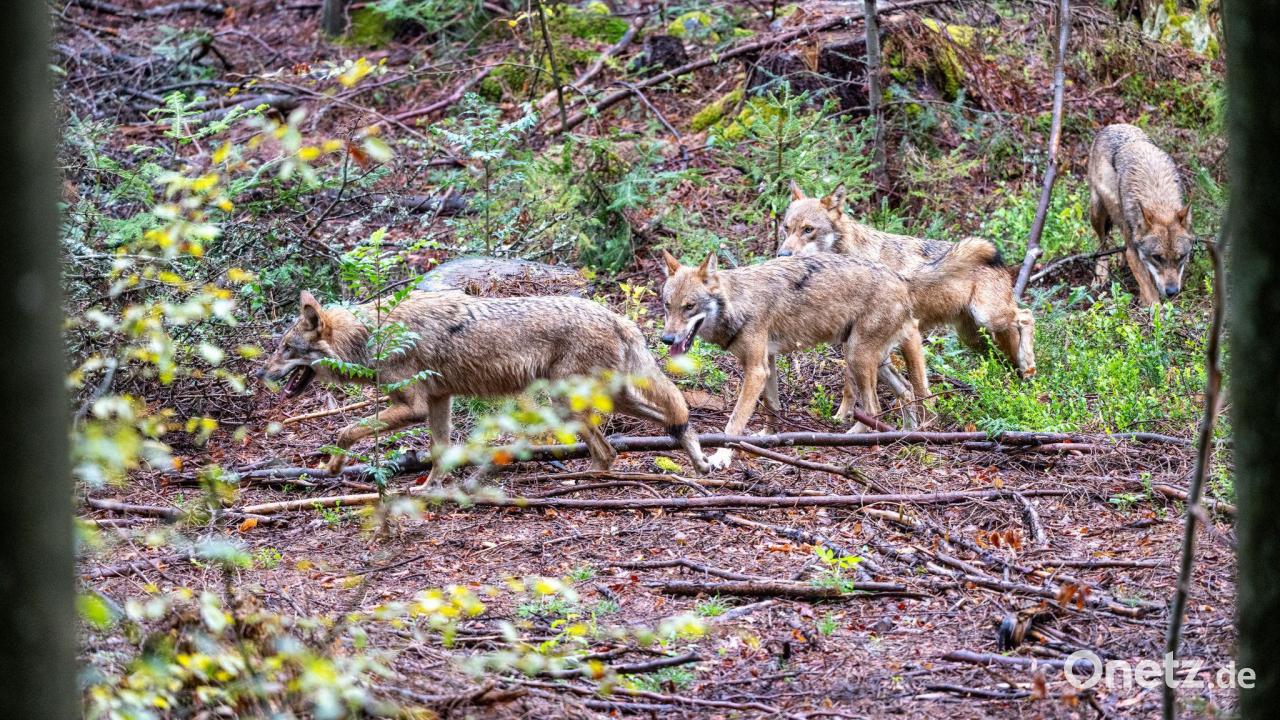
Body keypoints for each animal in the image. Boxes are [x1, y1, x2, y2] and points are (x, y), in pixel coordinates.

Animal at [261, 290, 711, 484]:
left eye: (285, 349)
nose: (262, 375)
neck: (369, 337)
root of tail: (618, 318)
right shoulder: (439, 401)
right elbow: (440, 453)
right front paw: (429, 492)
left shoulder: (414, 408)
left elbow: (344, 431)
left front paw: (333, 467)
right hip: (612, 398)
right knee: (674, 417)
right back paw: (701, 464)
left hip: (567, 405)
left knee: (609, 452)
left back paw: (578, 483)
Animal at [659, 251, 957, 470]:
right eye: (667, 305)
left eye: (689, 306)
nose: (667, 339)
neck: (738, 303)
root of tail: (901, 279)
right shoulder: (767, 363)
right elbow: (772, 406)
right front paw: (768, 437)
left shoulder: (755, 370)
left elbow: (733, 422)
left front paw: (721, 456)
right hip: (873, 360)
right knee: (906, 392)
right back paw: (904, 436)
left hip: (856, 357)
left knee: (873, 408)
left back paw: (854, 438)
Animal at [778, 182, 1036, 380]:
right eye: (786, 228)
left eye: (808, 229)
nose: (782, 255)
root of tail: (1001, 266)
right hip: (972, 337)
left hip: (988, 318)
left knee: (1027, 315)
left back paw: (1029, 365)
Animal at [1087, 123, 1195, 306]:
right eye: (1157, 257)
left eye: (1180, 257)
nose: (1172, 292)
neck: (1157, 196)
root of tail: (1113, 125)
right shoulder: (1134, 252)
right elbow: (1149, 288)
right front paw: (1154, 307)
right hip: (1096, 212)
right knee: (1103, 243)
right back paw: (1101, 275)